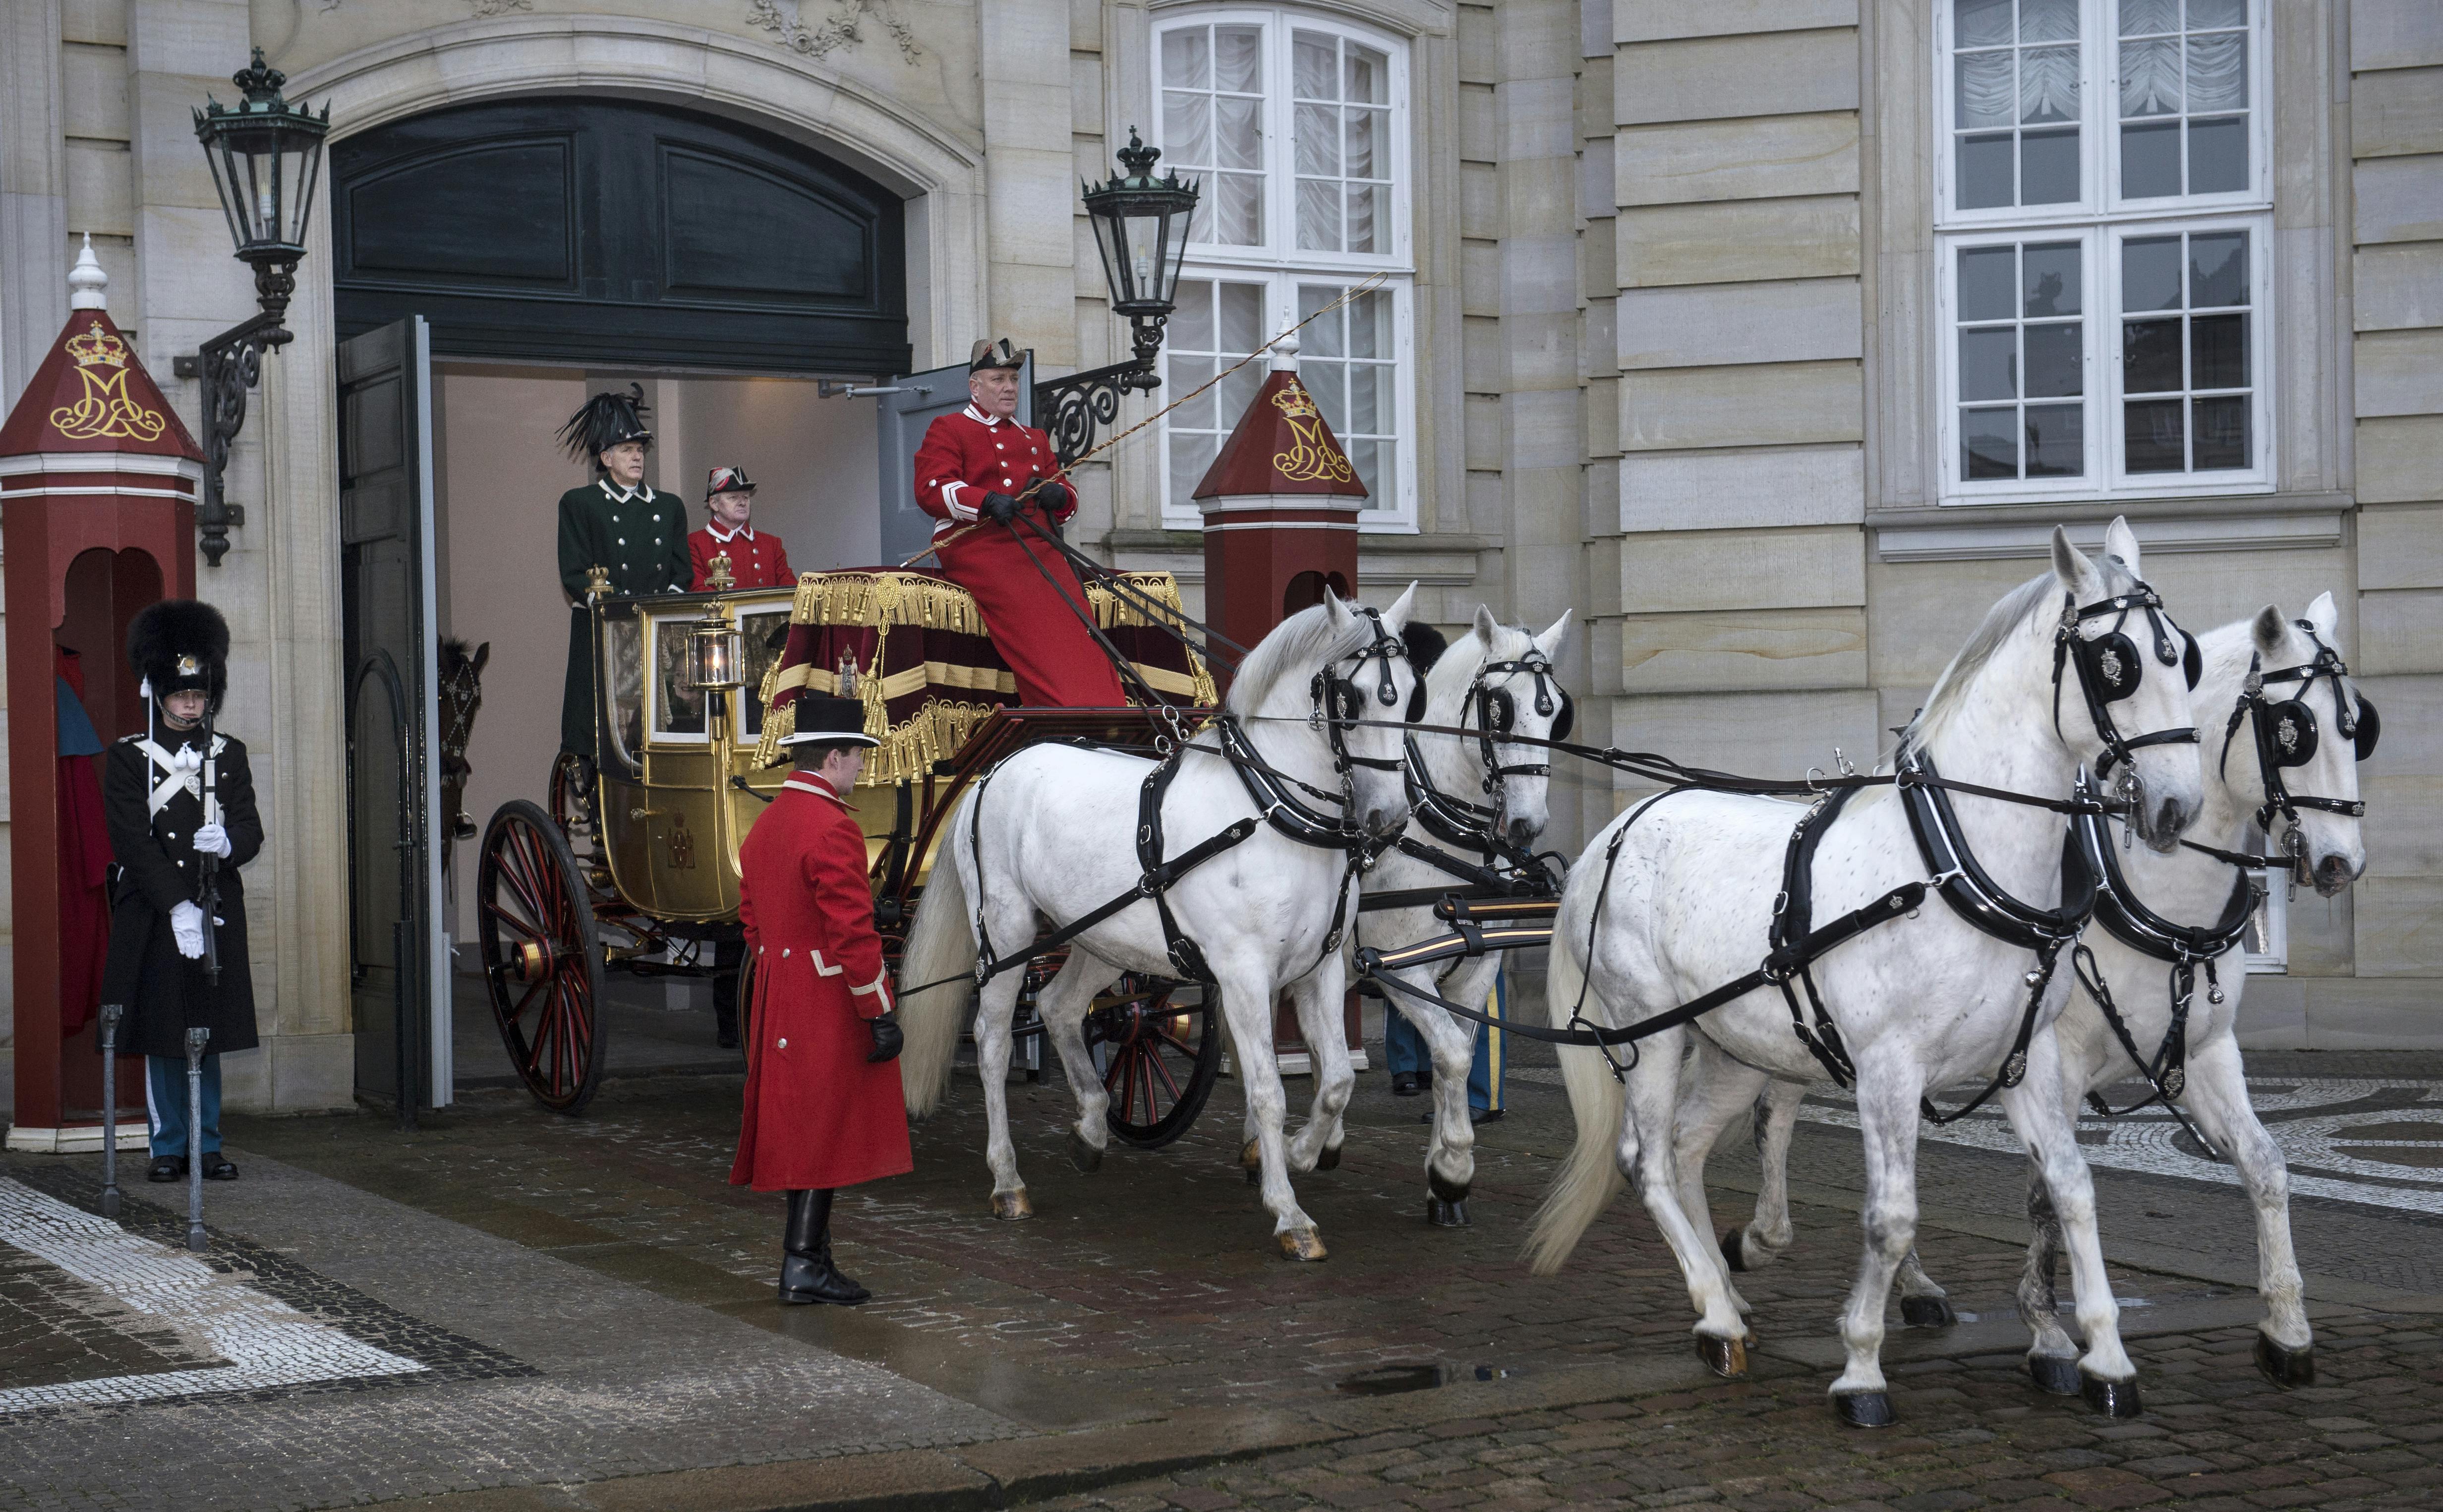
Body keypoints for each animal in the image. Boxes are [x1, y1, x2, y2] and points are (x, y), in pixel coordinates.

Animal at [904, 586, 1426, 1260]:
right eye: (1350, 697)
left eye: (1411, 694)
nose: (1389, 818)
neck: (1271, 814)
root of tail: (990, 775)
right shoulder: (1242, 975)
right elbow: (1267, 1089)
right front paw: (1288, 1211)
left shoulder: (1319, 967)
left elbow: (1335, 1078)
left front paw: (1299, 1152)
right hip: (1006, 933)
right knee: (993, 1042)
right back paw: (1007, 1179)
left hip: (1096, 937)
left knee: (1059, 1006)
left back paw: (1091, 1126)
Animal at [1358, 605, 1583, 1231]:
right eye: (1499, 710)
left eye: (1555, 711)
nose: (1528, 824)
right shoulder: (1399, 970)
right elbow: (1453, 1054)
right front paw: (1453, 1166)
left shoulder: (1474, 968)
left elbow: (1452, 1054)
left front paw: (1443, 1180)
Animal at [1524, 518, 2199, 1416]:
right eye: (2115, 661)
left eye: (2183, 656)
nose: (2177, 807)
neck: (1951, 867)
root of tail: (1614, 830)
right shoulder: (1888, 1067)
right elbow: (1891, 1217)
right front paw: (1860, 1364)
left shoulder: (2023, 1060)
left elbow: (2071, 1185)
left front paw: (2105, 1356)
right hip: (1652, 1034)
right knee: (1648, 1162)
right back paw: (1716, 1316)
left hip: (1737, 1047)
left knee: (1687, 1147)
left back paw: (1723, 1293)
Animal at [1720, 593, 2365, 1397]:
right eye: (2292, 730)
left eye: (2358, 724)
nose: (2343, 863)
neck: (2150, 892)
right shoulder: (2051, 1059)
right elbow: (2044, 1193)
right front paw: (2051, 1333)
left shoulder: (2206, 1051)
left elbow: (2266, 1165)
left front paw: (2285, 1327)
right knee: (1775, 1115)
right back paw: (1755, 1250)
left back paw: (1902, 1282)